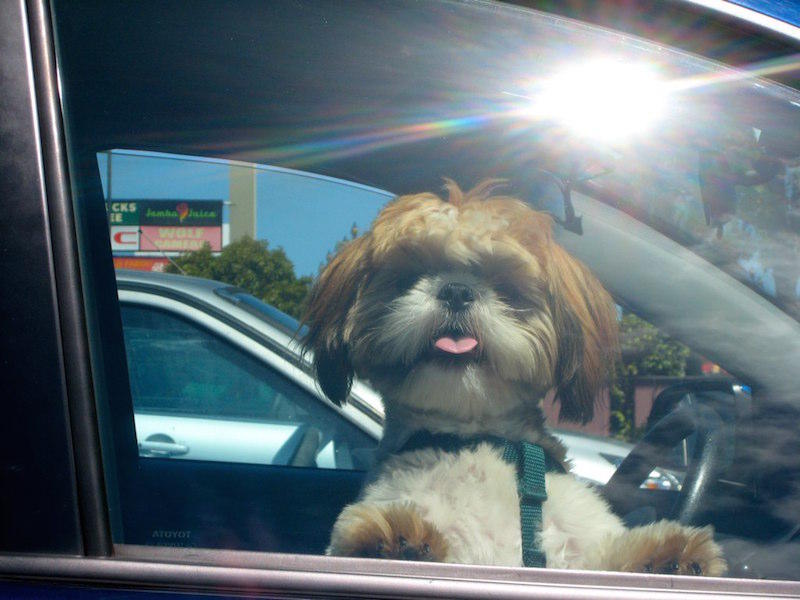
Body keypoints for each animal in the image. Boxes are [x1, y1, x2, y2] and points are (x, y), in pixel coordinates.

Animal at [304, 180, 728, 576]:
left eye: (506, 287)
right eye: (409, 277)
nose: (456, 289)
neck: (475, 440)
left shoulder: (576, 534)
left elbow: (603, 554)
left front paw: (663, 555)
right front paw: (390, 541)